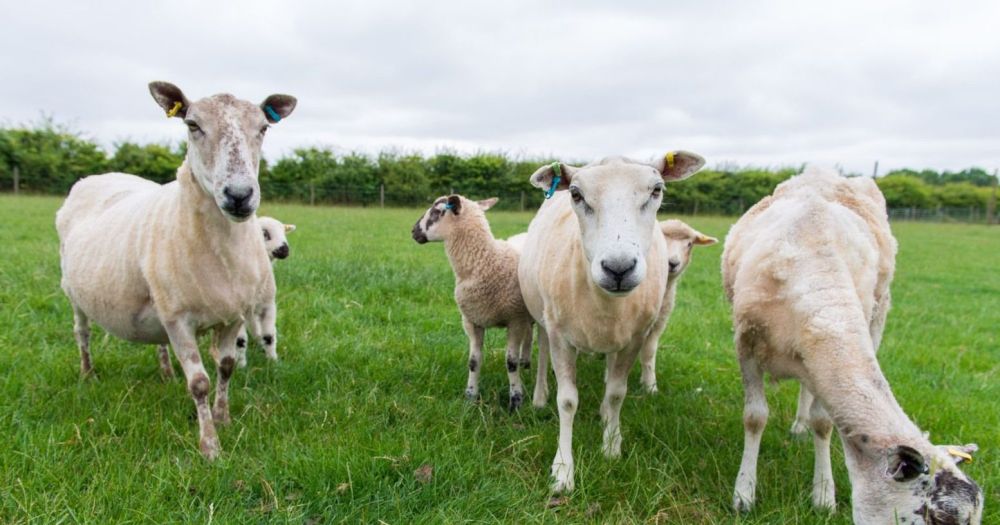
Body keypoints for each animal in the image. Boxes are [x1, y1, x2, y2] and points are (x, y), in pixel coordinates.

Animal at [56, 81, 296, 460]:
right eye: (192, 125)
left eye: (264, 128)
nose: (239, 195)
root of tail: (96, 176)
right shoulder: (179, 319)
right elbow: (198, 383)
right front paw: (210, 446)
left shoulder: (232, 315)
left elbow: (226, 368)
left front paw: (223, 418)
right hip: (75, 294)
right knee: (82, 334)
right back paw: (88, 373)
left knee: (159, 344)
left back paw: (166, 372)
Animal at [411, 195, 538, 410]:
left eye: (436, 211)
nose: (413, 231)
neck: (485, 261)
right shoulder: (472, 321)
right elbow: (474, 361)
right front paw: (470, 397)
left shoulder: (515, 319)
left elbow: (510, 363)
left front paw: (516, 400)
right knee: (528, 337)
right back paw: (526, 364)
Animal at [517, 152, 705, 493]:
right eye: (576, 194)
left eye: (657, 190)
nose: (618, 268)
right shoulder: (561, 335)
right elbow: (567, 401)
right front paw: (563, 470)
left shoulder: (635, 336)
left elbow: (617, 392)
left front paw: (611, 446)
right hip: (543, 317)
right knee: (541, 356)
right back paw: (539, 397)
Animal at [722, 167, 982, 523]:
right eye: (940, 517)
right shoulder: (746, 342)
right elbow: (754, 417)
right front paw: (744, 495)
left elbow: (823, 422)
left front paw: (823, 496)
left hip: (873, 318)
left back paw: (800, 426)